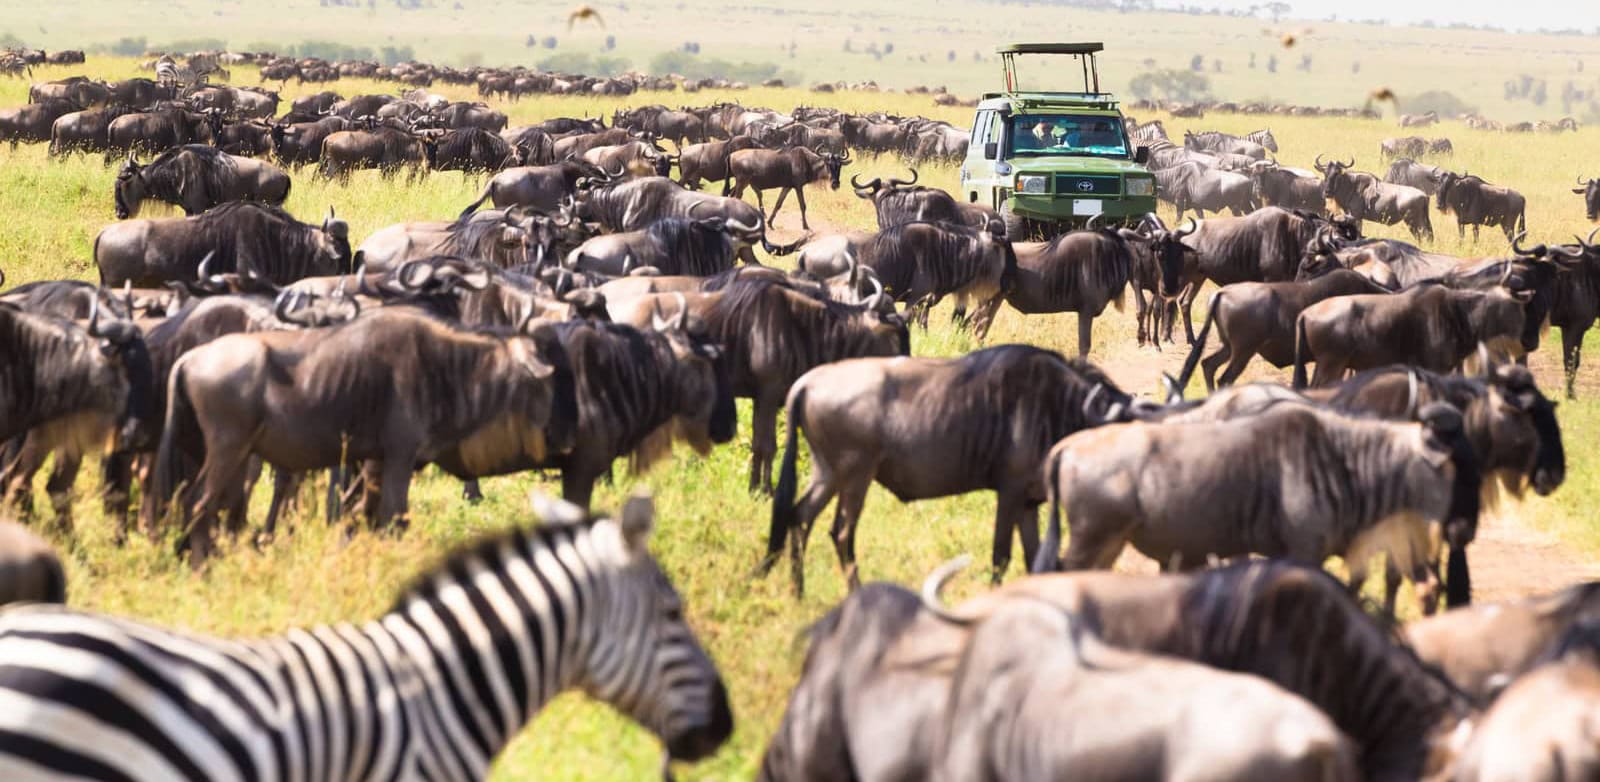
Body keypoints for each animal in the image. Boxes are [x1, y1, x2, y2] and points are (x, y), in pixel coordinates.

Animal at [113, 145, 292, 219]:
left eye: (121, 184)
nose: (119, 214)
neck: (176, 170)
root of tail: (284, 175)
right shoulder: (189, 210)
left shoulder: (199, 208)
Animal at [760, 345, 1140, 597]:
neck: (1057, 403)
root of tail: (807, 383)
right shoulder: (1010, 493)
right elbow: (1001, 556)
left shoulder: (1028, 503)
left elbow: (1035, 560)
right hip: (856, 475)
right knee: (840, 532)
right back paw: (853, 592)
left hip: (827, 473)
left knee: (799, 517)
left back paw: (798, 592)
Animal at [1034, 402, 1483, 613]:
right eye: (1462, 472)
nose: (1465, 531)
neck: (1347, 460)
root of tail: (1067, 446)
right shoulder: (1304, 553)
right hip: (1091, 539)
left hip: (1107, 544)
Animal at [1292, 283, 1529, 388]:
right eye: (1514, 309)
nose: (1526, 343)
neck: (1457, 313)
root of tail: (1306, 312)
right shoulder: (1436, 369)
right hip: (1332, 366)